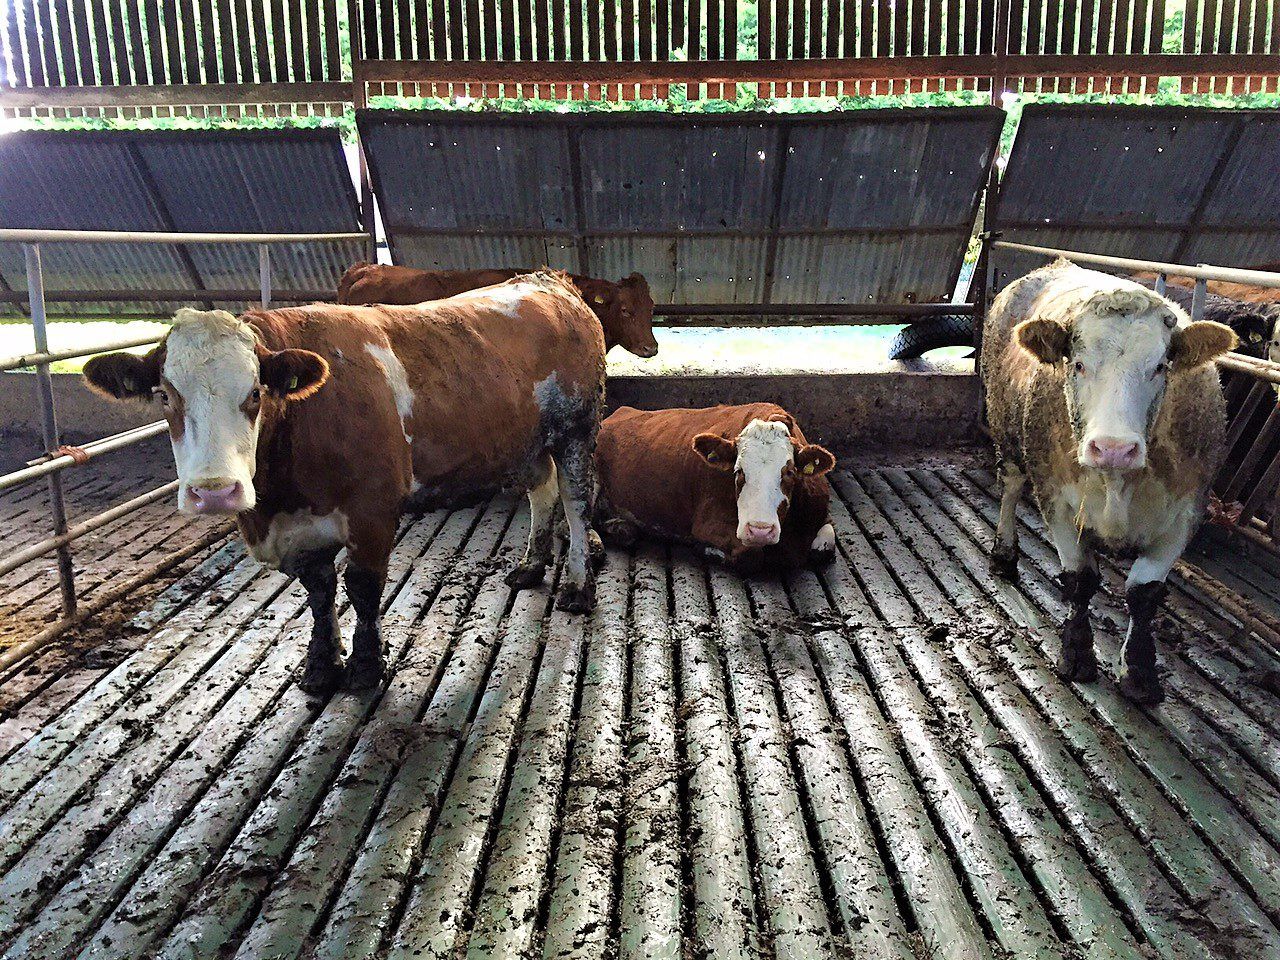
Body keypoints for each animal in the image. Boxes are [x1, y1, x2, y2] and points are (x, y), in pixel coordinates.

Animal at [83, 272, 605, 695]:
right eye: (164, 396)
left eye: (255, 393)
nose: (214, 490)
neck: (279, 499)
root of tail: (548, 280)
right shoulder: (298, 532)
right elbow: (319, 591)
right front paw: (321, 665)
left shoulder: (372, 509)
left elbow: (362, 586)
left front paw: (367, 666)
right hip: (524, 442)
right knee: (543, 490)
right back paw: (531, 564)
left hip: (577, 428)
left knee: (577, 502)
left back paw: (578, 585)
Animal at [593, 403, 837, 571]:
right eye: (738, 471)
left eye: (789, 472)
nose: (759, 530)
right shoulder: (707, 523)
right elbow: (750, 556)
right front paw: (706, 549)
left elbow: (826, 545)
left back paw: (621, 528)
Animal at [983, 259, 1236, 704]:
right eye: (1078, 363)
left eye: (1160, 366)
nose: (1114, 448)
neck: (1119, 484)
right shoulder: (1057, 501)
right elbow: (1080, 580)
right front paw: (1076, 654)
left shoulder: (1185, 515)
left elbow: (1144, 594)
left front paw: (1138, 671)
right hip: (1005, 426)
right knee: (1011, 487)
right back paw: (1005, 552)